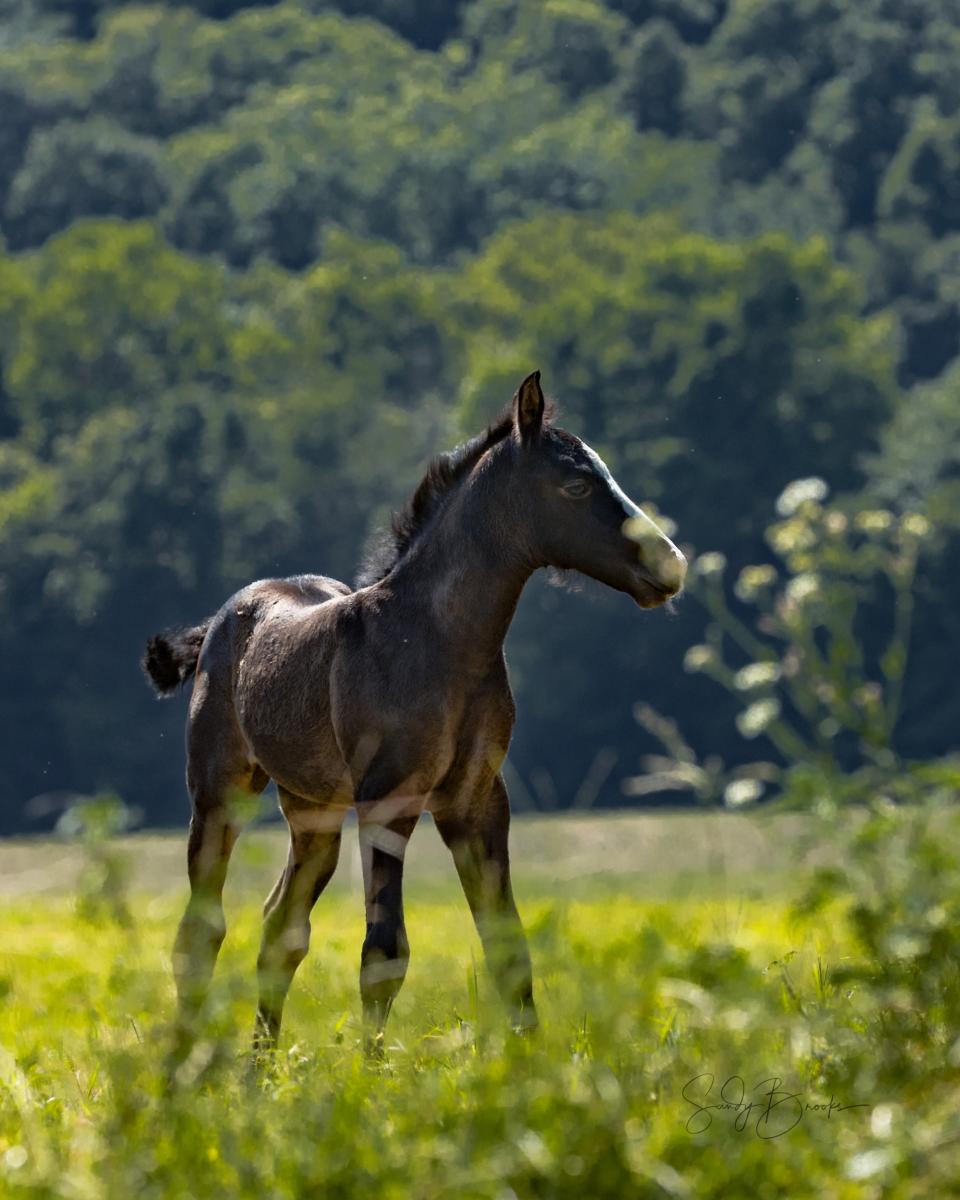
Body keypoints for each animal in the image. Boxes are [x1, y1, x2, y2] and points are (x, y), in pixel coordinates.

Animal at [142, 370, 687, 1055]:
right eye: (577, 484)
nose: (671, 564)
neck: (438, 642)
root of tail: (221, 618)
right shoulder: (389, 800)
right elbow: (384, 952)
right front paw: (371, 1076)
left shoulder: (476, 802)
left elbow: (508, 947)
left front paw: (532, 1065)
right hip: (220, 795)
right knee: (201, 930)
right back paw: (186, 1062)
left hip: (313, 811)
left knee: (280, 928)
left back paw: (260, 1067)